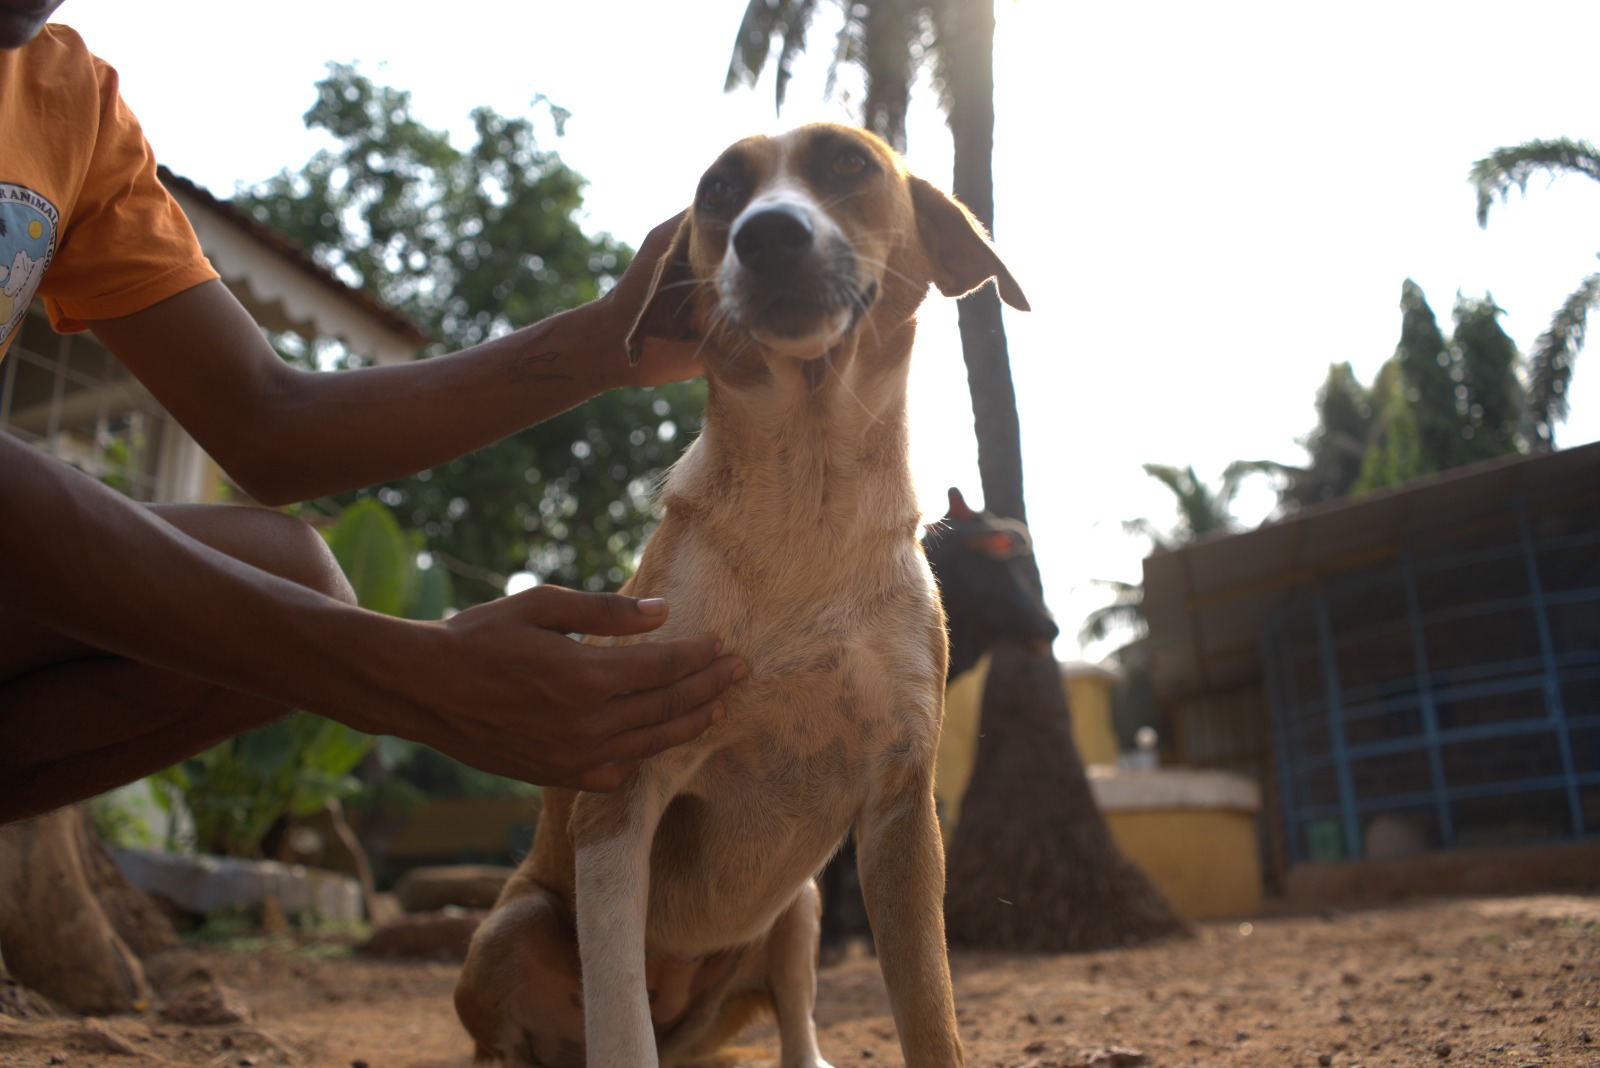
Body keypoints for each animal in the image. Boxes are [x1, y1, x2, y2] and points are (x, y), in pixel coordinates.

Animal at [454, 123, 1024, 1068]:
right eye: (718, 190)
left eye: (849, 163)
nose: (768, 235)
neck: (806, 508)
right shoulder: (622, 794)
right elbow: (620, 1021)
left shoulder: (902, 808)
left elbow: (931, 1014)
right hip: (515, 924)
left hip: (800, 905)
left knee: (796, 1020)